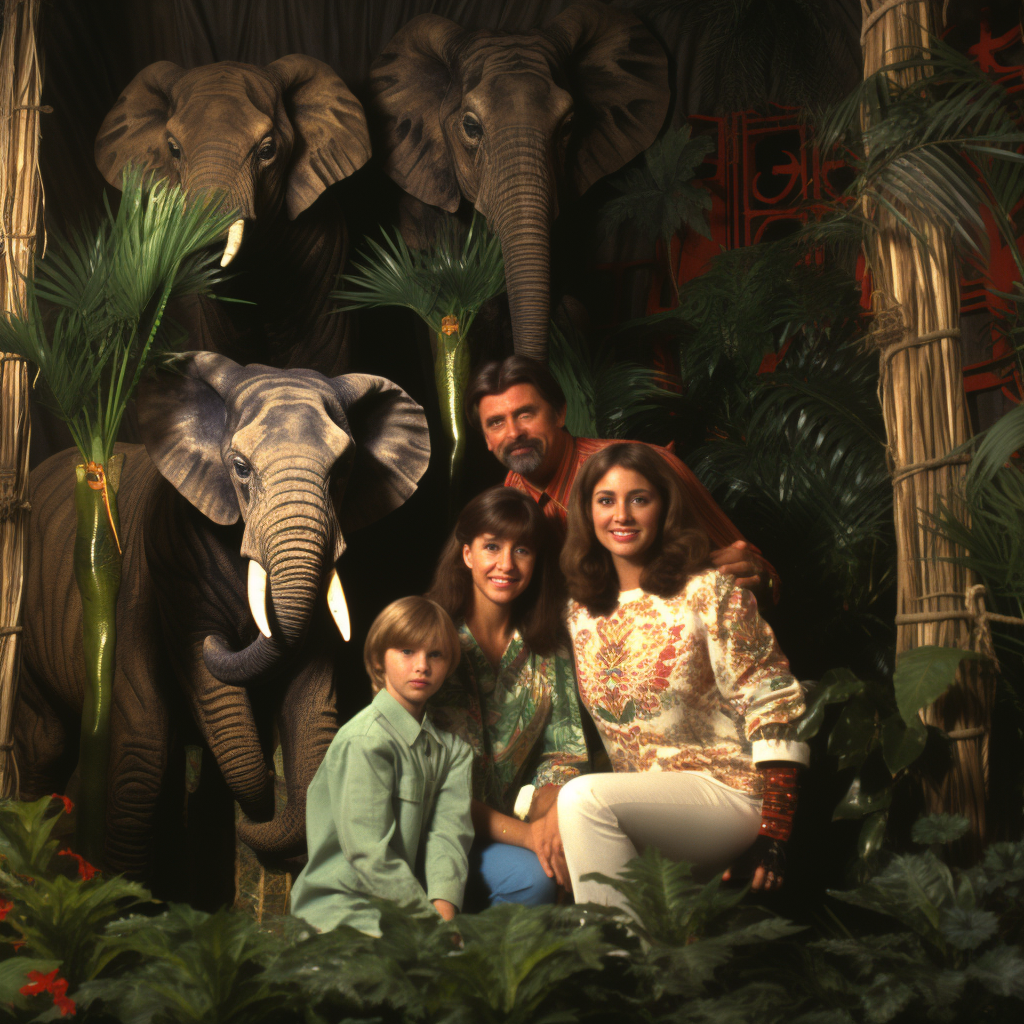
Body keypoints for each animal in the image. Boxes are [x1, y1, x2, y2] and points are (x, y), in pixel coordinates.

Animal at [17, 356, 423, 884]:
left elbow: (311, 709)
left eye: (344, 470)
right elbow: (176, 711)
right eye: (241, 469)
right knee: (63, 746)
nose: (226, 641)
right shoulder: (165, 558)